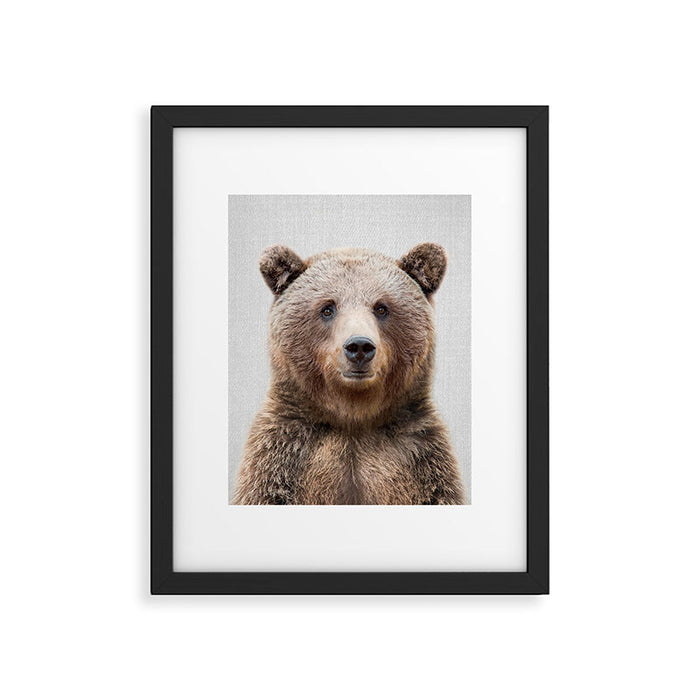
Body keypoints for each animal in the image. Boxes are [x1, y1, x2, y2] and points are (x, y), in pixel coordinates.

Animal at [232, 243, 465, 505]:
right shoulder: (282, 457)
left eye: (381, 307)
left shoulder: (421, 460)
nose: (359, 346)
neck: (353, 417)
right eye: (327, 308)